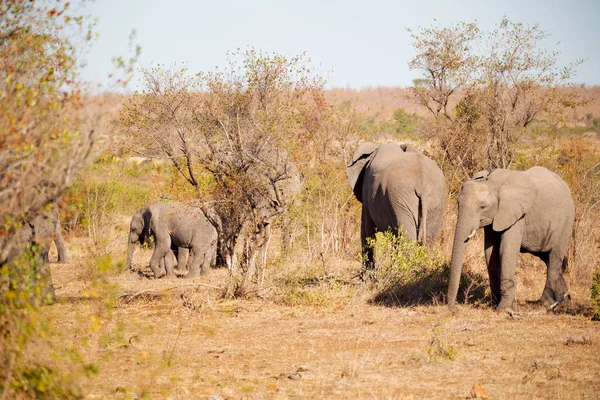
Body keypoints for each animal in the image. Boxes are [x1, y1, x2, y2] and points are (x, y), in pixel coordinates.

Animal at [448, 167, 576, 310]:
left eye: (482, 207)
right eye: (458, 203)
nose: (455, 309)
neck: (493, 183)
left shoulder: (517, 215)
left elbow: (507, 250)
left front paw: (504, 309)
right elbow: (490, 253)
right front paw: (495, 305)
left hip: (565, 223)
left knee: (554, 258)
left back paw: (544, 303)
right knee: (549, 259)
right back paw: (564, 300)